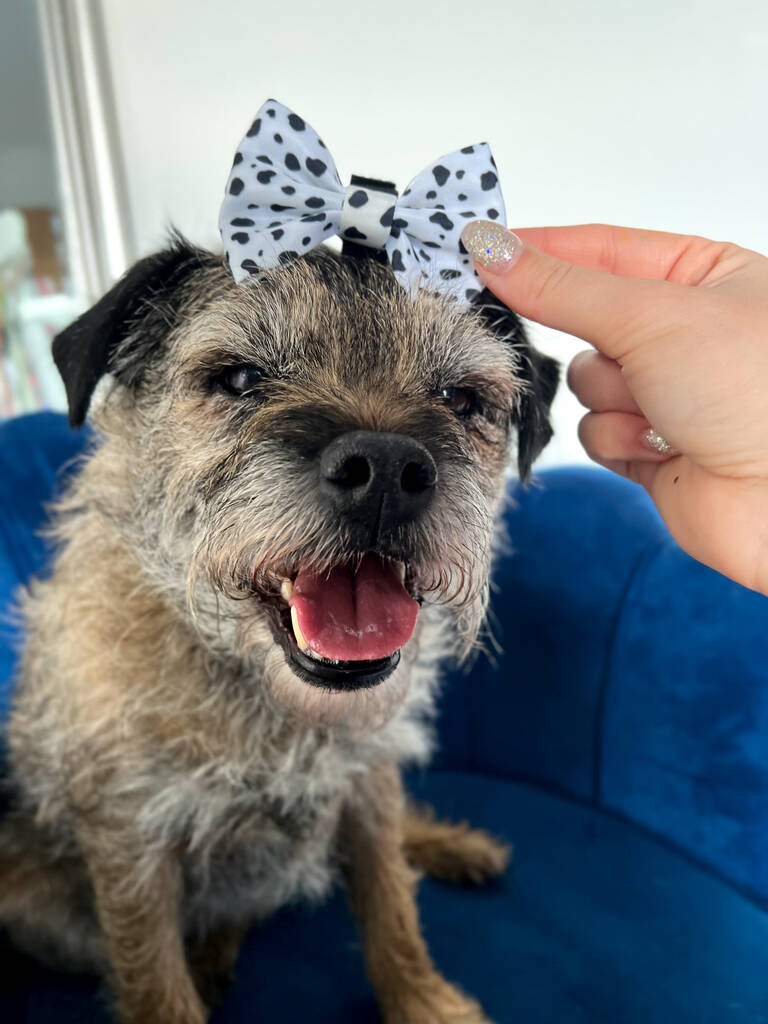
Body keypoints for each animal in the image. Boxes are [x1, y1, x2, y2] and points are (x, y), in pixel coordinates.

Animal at [0, 235, 557, 1019]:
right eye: (239, 377)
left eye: (460, 398)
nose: (385, 466)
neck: (267, 699)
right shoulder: (129, 847)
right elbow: (154, 977)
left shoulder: (366, 783)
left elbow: (391, 902)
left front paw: (425, 1002)